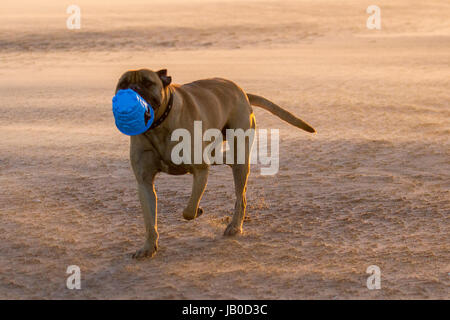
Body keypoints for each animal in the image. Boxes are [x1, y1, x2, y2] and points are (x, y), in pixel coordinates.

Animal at [114, 69, 314, 258]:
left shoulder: (200, 170)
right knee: (226, 161)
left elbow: (189, 210)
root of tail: (242, 92)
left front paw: (198, 211)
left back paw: (235, 226)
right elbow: (149, 220)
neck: (158, 126)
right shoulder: (144, 183)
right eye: (122, 84)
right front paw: (148, 247)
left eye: (147, 83)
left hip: (239, 154)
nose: (132, 89)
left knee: (240, 197)